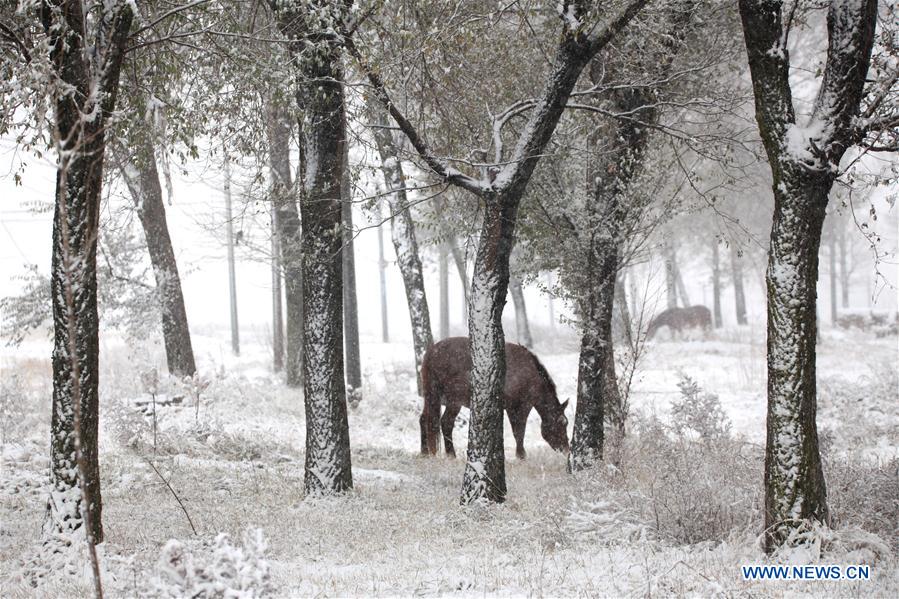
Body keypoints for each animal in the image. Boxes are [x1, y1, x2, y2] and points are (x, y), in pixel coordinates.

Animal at [418, 338, 568, 460]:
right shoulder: (517, 407)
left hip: (436, 399)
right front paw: (521, 455)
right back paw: (449, 454)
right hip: (449, 400)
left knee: (427, 420)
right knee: (444, 422)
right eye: (562, 423)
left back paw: (427, 452)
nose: (567, 449)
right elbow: (519, 431)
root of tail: (431, 352)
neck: (529, 374)